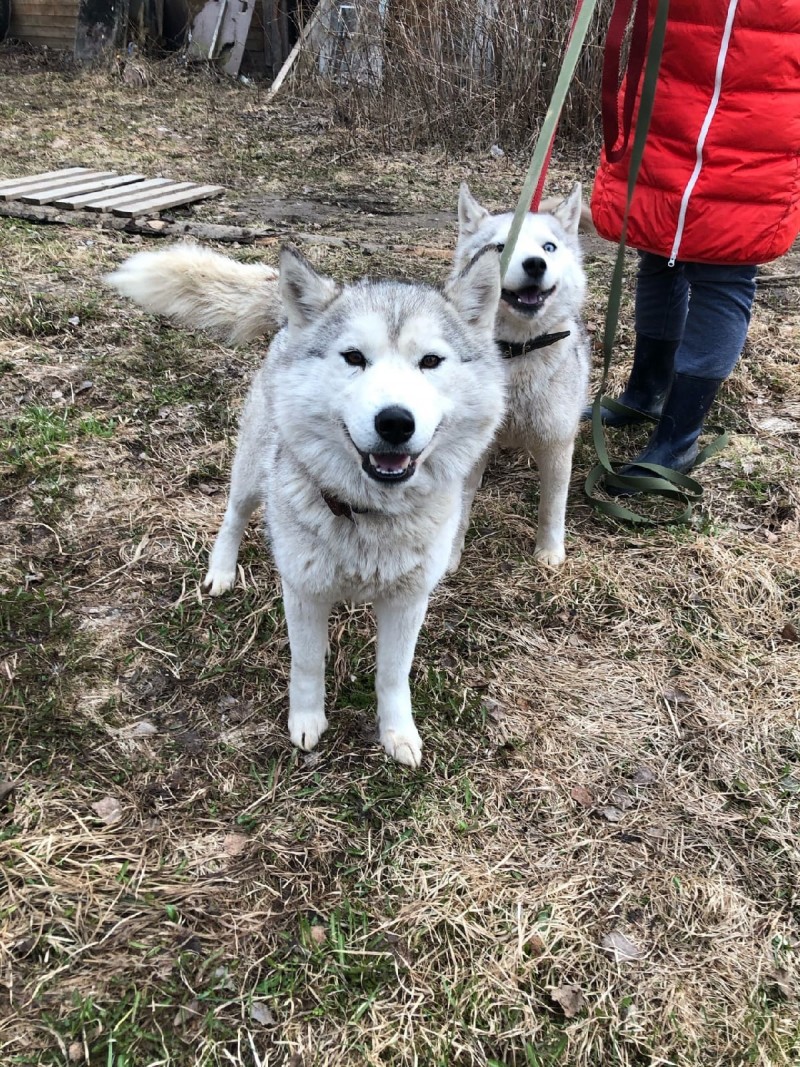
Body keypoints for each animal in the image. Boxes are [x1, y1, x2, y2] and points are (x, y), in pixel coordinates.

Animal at [153, 249, 503, 768]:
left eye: (431, 361)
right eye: (354, 357)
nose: (395, 422)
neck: (367, 514)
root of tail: (289, 321)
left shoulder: (408, 601)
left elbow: (393, 676)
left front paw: (397, 734)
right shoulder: (303, 593)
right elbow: (306, 664)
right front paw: (306, 721)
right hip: (252, 472)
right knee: (234, 515)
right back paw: (221, 570)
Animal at [448, 183, 593, 567]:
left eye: (549, 247)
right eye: (501, 247)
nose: (535, 264)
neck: (517, 352)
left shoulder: (557, 446)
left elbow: (551, 507)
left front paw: (549, 552)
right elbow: (458, 509)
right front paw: (449, 558)